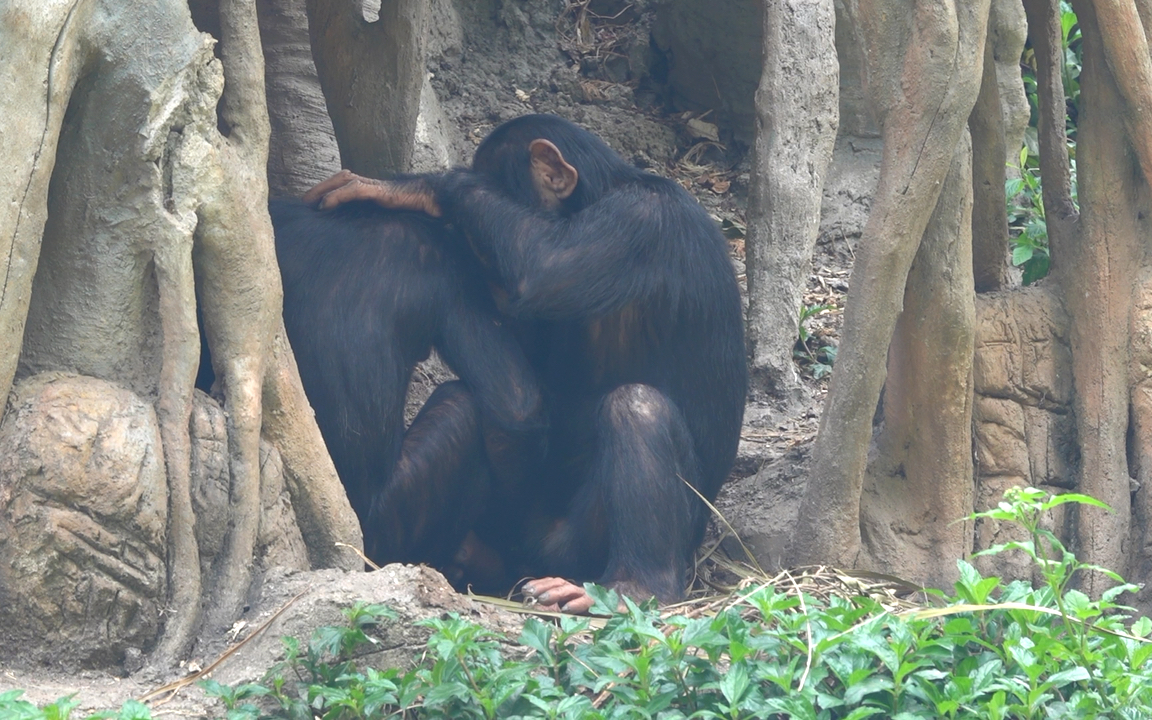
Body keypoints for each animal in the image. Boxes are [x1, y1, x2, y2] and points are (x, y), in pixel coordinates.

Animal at [304, 113, 746, 612]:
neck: (603, 193)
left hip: (569, 544)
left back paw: (630, 588)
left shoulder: (642, 221)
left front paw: (420, 188)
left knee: (637, 409)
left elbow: (548, 269)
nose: (487, 274)